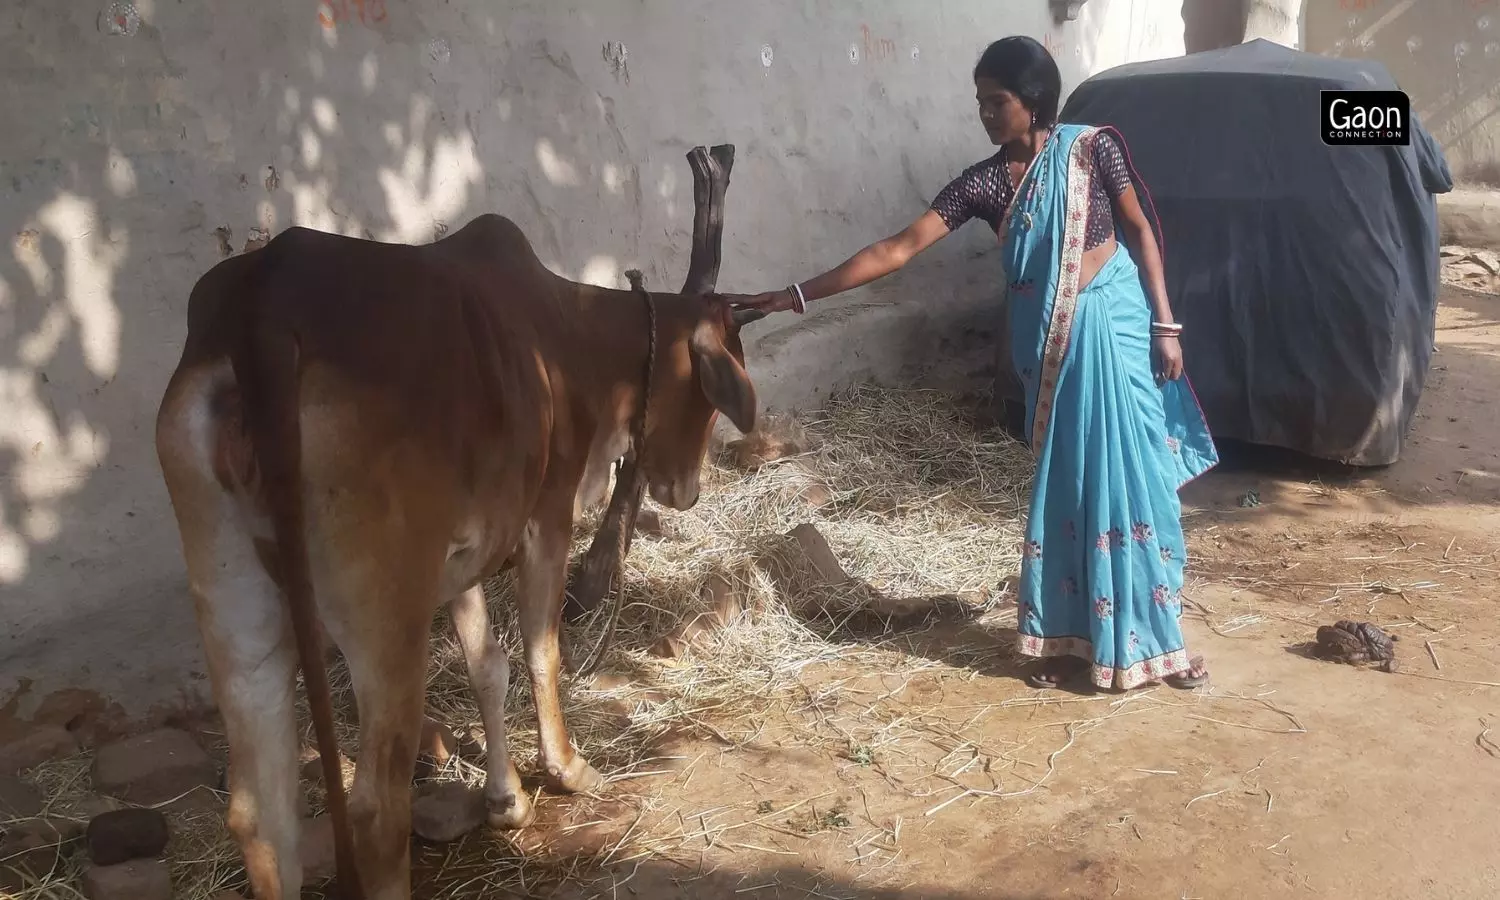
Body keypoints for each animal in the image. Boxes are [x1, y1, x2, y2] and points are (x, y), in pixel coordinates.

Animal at [152, 205, 756, 900]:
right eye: (709, 400)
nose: (686, 491)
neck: (569, 338)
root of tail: (263, 313)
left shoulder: (460, 555)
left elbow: (485, 665)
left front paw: (506, 800)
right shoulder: (545, 516)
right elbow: (541, 650)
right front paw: (566, 768)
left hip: (234, 597)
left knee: (260, 813)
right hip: (386, 612)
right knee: (375, 810)